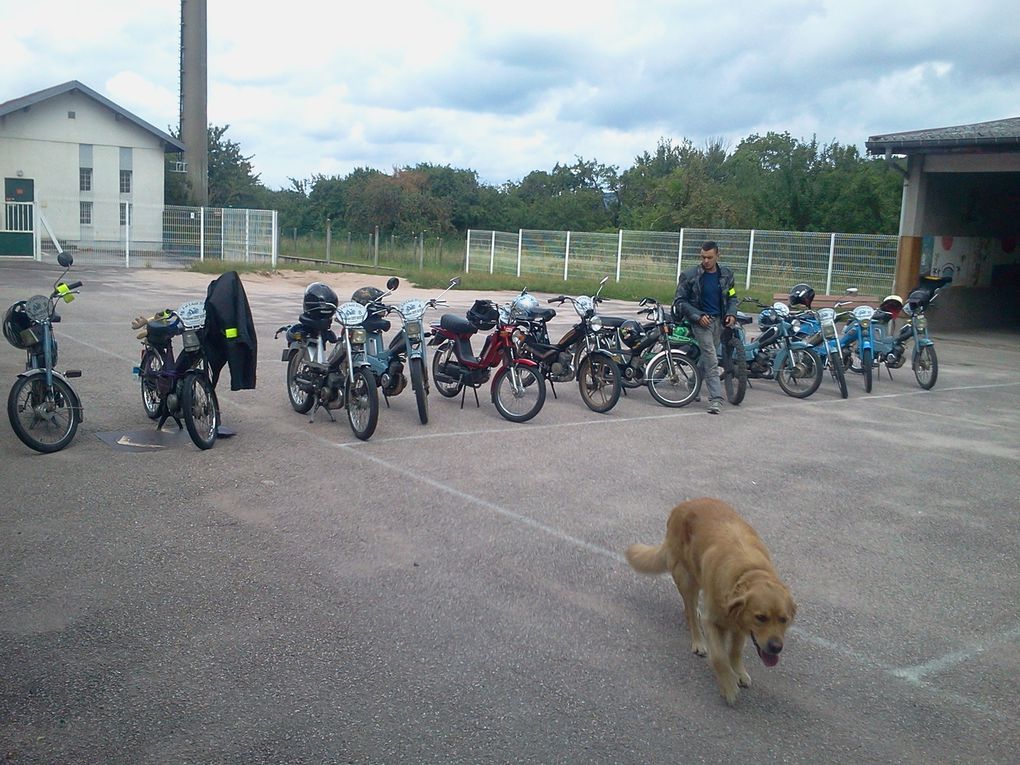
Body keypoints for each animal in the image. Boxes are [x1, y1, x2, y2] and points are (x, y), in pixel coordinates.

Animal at [620, 497, 795, 705]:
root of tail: (682, 506)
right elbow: (719, 657)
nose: (776, 648)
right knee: (691, 615)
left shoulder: (741, 626)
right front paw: (728, 686)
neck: (747, 572)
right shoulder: (712, 621)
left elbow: (735, 651)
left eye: (784, 620)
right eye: (761, 618)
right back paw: (698, 641)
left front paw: (739, 672)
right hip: (686, 578)